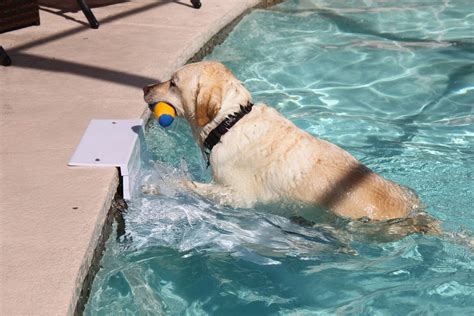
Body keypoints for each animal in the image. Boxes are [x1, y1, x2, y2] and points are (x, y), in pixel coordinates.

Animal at [142, 61, 422, 222]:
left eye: (173, 83)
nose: (145, 88)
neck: (231, 122)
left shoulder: (238, 196)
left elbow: (189, 186)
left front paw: (157, 187)